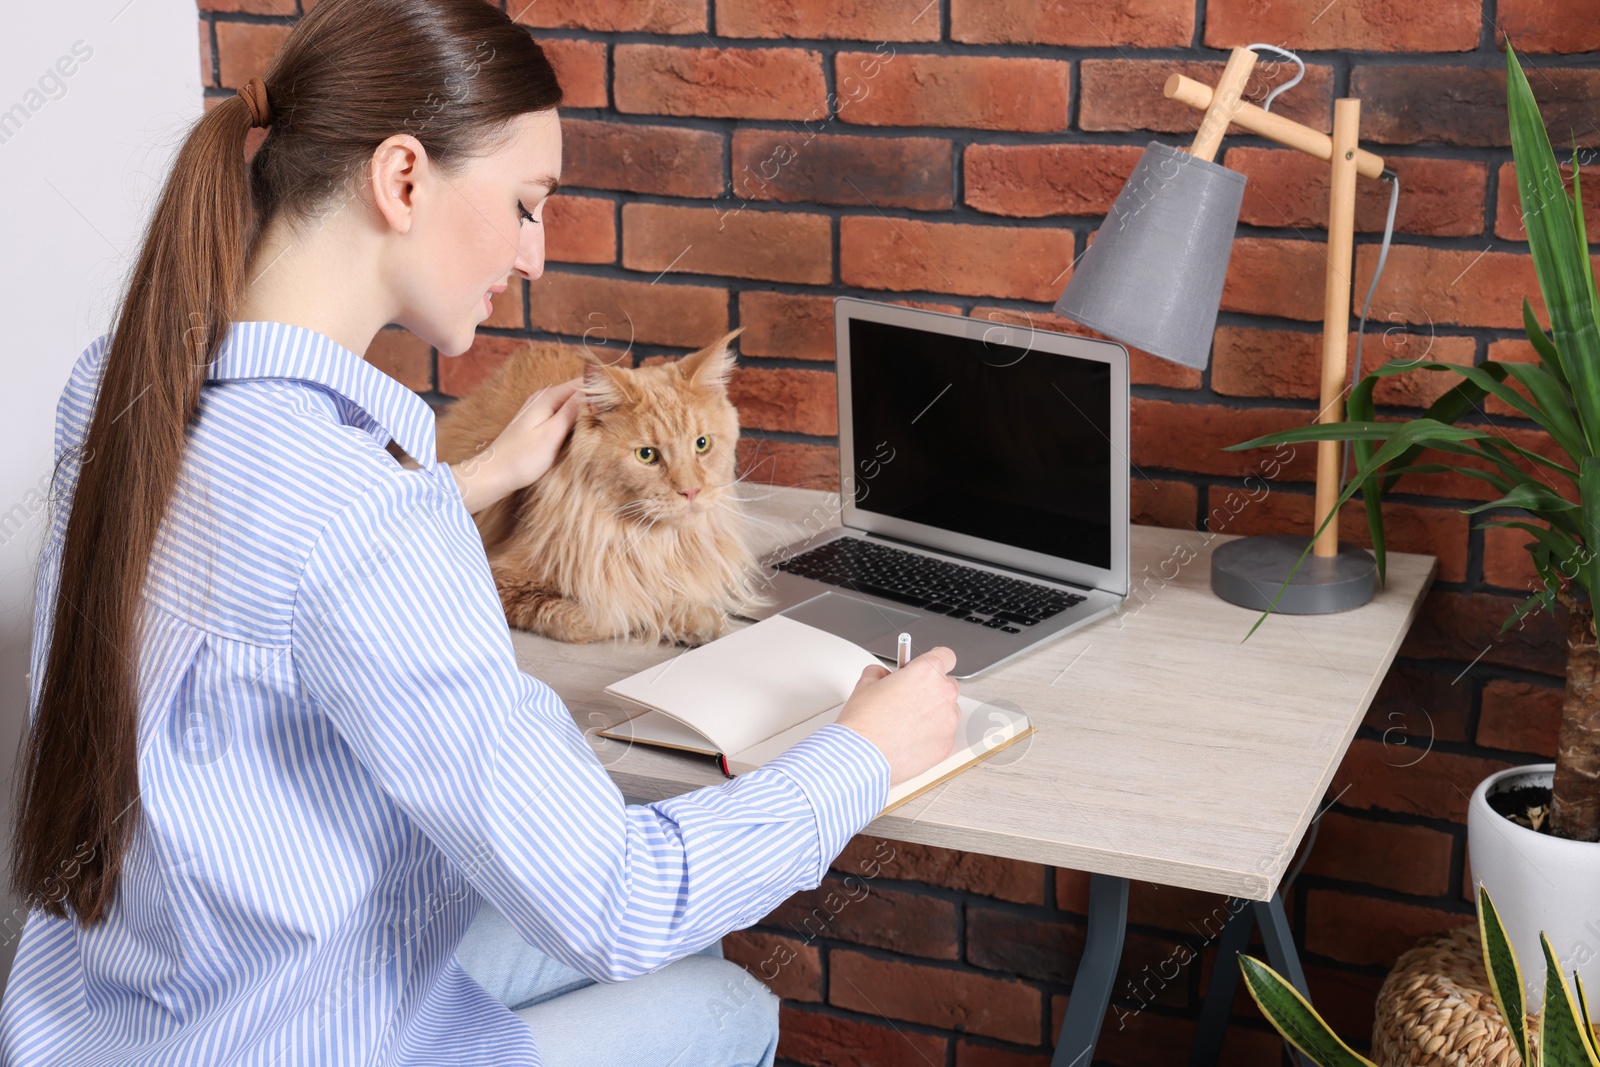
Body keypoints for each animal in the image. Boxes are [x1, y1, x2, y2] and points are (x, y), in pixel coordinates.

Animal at [432, 327, 768, 643]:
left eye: (702, 444)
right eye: (646, 455)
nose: (691, 491)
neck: (650, 543)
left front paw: (695, 621)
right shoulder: (502, 578)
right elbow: (606, 616)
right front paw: (656, 617)